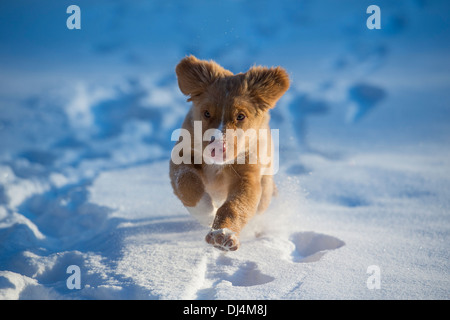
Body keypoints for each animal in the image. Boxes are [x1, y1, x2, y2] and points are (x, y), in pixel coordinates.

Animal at [168, 54, 288, 250]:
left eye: (240, 116)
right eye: (206, 113)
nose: (217, 147)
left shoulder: (247, 175)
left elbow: (236, 206)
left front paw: (222, 235)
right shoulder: (181, 155)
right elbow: (187, 183)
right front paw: (209, 213)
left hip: (266, 184)